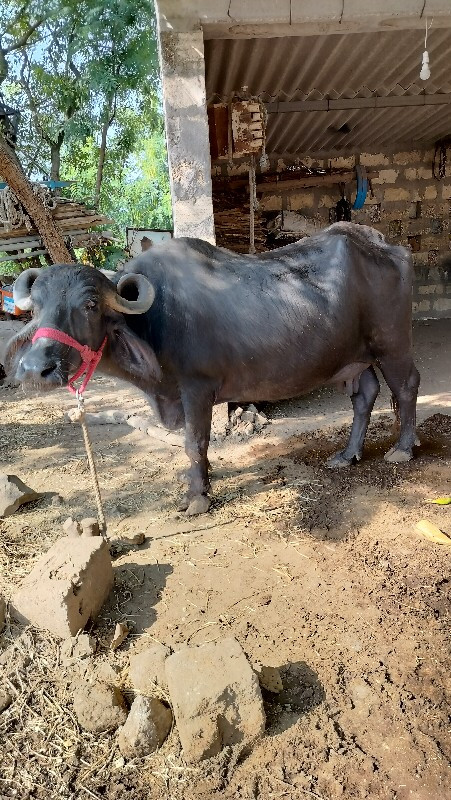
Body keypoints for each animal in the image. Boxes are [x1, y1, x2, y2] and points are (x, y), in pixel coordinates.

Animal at [5, 222, 420, 516]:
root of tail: (387, 247)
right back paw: (347, 454)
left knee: (406, 386)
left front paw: (198, 496)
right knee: (365, 395)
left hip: (392, 345)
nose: (34, 370)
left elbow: (195, 442)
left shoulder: (197, 390)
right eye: (35, 306)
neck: (157, 319)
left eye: (90, 305)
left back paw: (402, 448)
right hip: (355, 358)